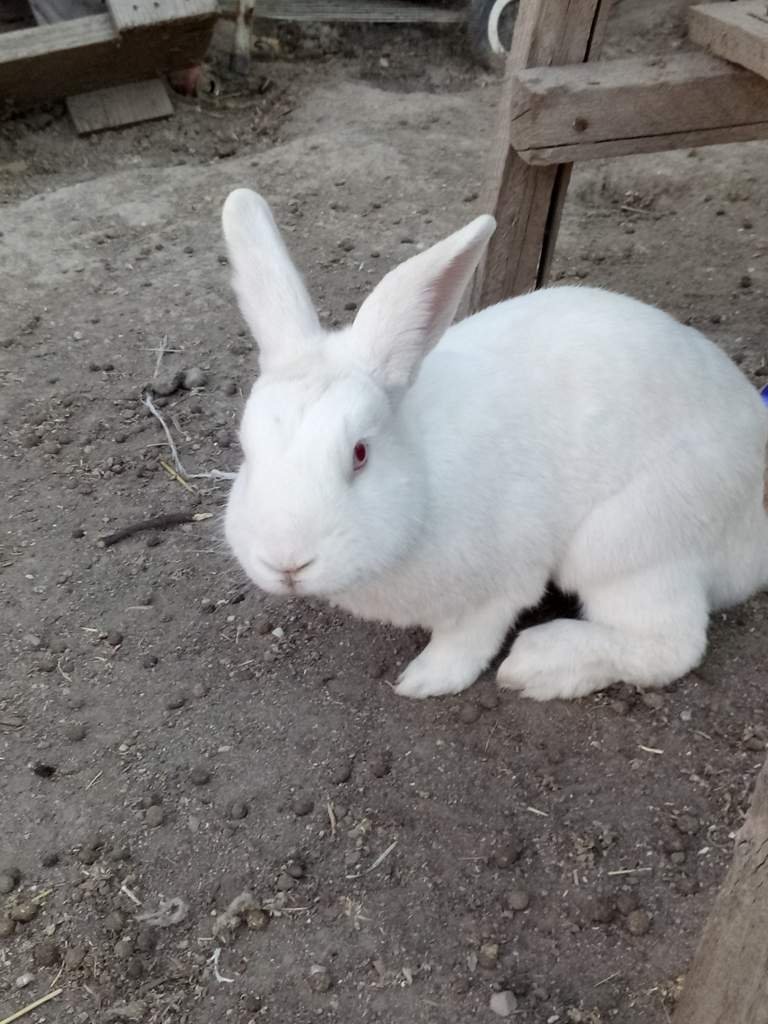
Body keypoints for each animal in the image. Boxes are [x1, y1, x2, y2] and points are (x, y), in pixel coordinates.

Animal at [222, 187, 768, 701]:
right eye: (247, 450)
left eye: (359, 454)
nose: (286, 563)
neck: (423, 473)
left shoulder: (498, 585)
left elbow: (467, 640)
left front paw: (425, 680)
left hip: (629, 542)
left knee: (671, 643)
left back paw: (539, 664)